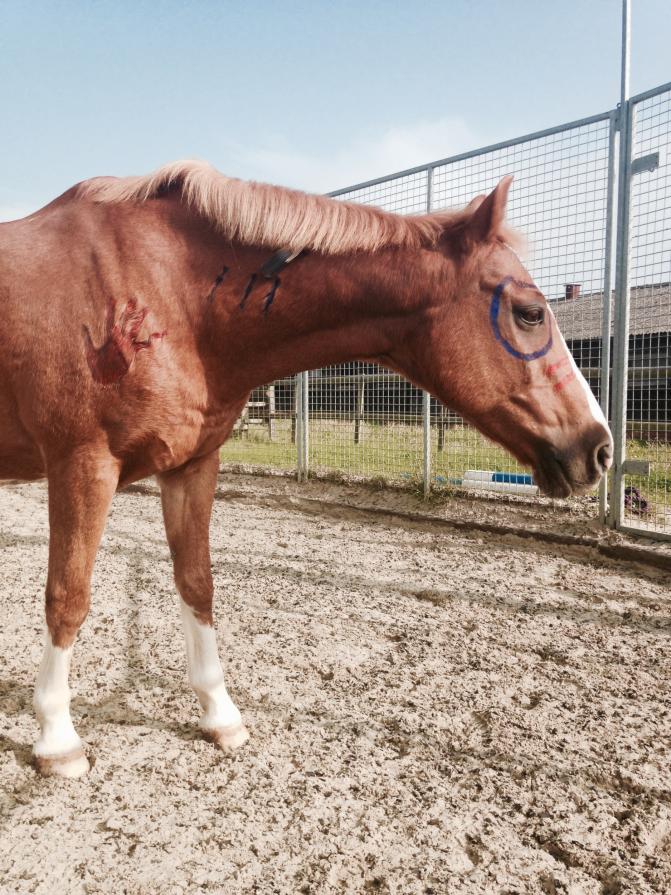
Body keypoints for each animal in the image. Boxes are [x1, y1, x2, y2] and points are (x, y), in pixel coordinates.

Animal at [0, 161, 612, 776]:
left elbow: (197, 584)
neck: (171, 295)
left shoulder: (191, 466)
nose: (600, 448)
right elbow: (68, 597)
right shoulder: (83, 465)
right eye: (530, 313)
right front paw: (57, 738)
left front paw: (220, 714)